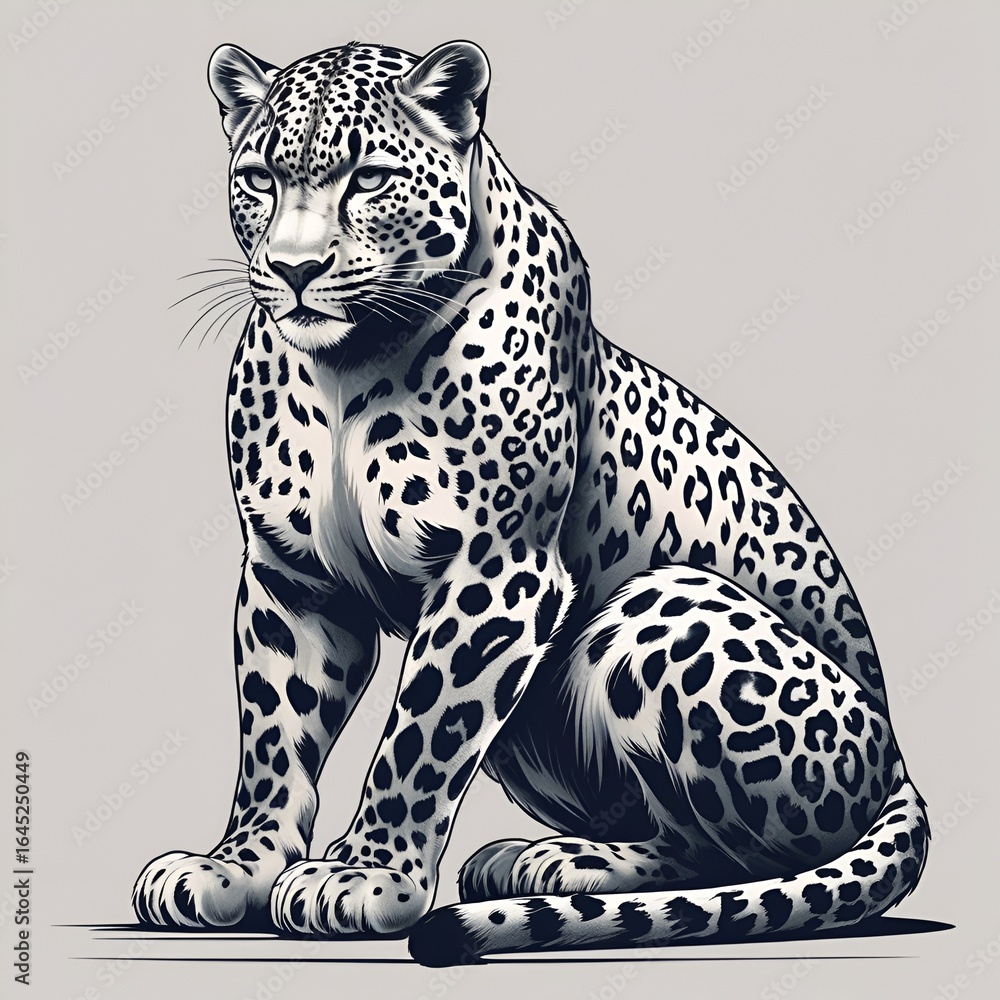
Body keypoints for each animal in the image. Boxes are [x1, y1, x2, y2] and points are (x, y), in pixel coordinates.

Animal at [132, 38, 929, 966]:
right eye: (258, 177)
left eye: (368, 178)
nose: (295, 270)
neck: (345, 367)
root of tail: (899, 766)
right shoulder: (291, 574)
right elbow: (274, 732)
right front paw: (236, 865)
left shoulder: (497, 569)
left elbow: (421, 737)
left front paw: (367, 876)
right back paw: (526, 856)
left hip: (667, 601)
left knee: (729, 855)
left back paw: (559, 864)